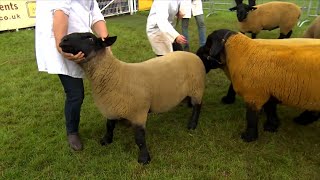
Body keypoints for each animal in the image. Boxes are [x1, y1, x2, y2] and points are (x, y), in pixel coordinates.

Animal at [58, 31, 206, 164]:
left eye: (90, 38)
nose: (63, 40)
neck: (115, 75)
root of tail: (188, 53)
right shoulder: (111, 107)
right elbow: (109, 126)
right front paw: (106, 140)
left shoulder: (138, 113)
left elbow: (139, 139)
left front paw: (144, 158)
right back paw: (187, 105)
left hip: (197, 88)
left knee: (198, 106)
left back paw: (192, 124)